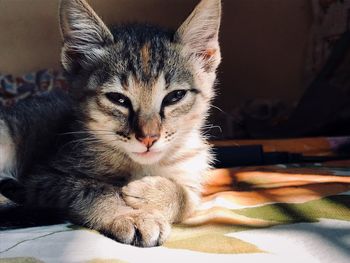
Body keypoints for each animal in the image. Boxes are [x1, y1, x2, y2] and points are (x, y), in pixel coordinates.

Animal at [0, 0, 221, 248]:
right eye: (118, 99)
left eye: (175, 96)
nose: (148, 137)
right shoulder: (45, 178)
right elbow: (92, 190)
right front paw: (131, 215)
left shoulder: (193, 170)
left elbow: (190, 199)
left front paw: (154, 194)